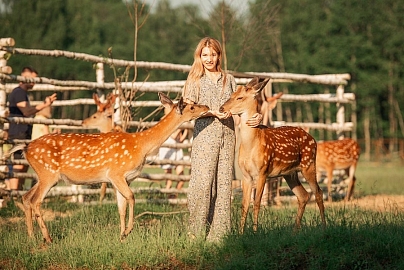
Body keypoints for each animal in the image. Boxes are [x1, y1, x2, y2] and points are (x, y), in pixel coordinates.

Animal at [13, 93, 208, 243]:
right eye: (191, 107)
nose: (205, 106)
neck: (141, 146)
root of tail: (26, 148)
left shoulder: (121, 179)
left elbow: (121, 206)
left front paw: (122, 236)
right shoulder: (116, 173)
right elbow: (131, 197)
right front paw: (128, 231)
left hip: (42, 175)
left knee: (26, 197)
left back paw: (31, 237)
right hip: (48, 173)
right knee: (36, 200)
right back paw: (47, 238)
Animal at [219, 77, 326, 233]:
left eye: (239, 97)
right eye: (231, 95)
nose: (221, 108)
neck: (251, 144)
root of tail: (313, 139)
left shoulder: (263, 171)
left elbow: (257, 202)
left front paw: (255, 232)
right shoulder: (246, 175)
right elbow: (244, 205)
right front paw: (240, 233)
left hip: (309, 164)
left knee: (318, 192)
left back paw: (324, 226)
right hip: (290, 173)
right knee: (304, 195)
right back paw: (294, 231)